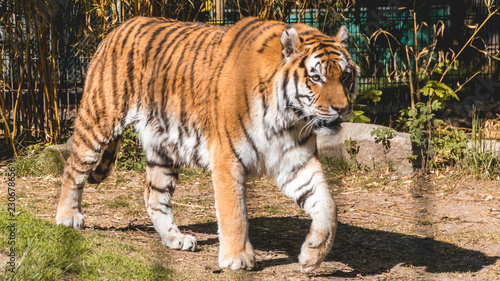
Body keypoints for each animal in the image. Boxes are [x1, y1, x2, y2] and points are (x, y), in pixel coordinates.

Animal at [55, 16, 360, 272]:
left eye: (345, 76)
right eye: (316, 77)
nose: (342, 109)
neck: (289, 118)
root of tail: (119, 27)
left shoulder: (295, 161)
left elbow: (328, 206)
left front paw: (312, 255)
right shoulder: (227, 156)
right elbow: (233, 211)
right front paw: (237, 257)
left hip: (163, 147)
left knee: (154, 196)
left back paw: (175, 239)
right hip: (99, 120)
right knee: (72, 168)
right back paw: (67, 217)